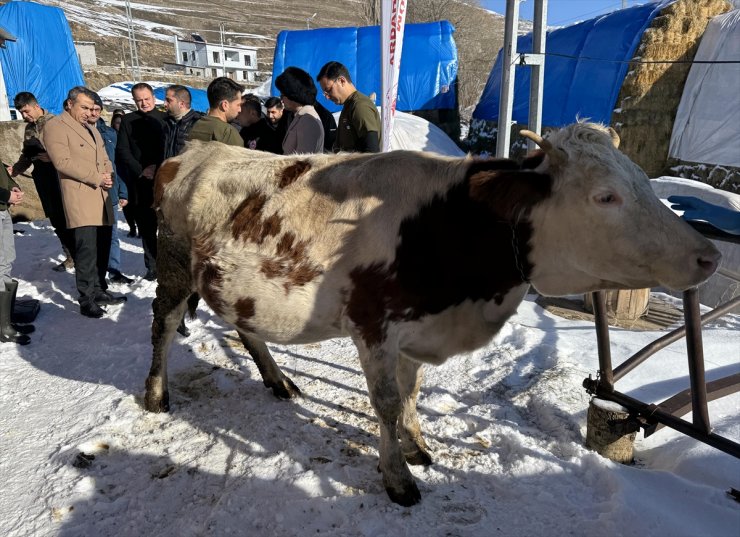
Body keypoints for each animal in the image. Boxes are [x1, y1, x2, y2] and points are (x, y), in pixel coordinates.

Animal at [142, 123, 720, 504]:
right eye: (605, 196)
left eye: (643, 181)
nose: (710, 256)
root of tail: (195, 149)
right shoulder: (373, 326)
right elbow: (385, 403)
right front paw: (398, 476)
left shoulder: (416, 329)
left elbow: (412, 393)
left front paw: (417, 445)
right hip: (172, 265)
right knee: (163, 325)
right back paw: (155, 395)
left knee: (243, 326)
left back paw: (277, 380)